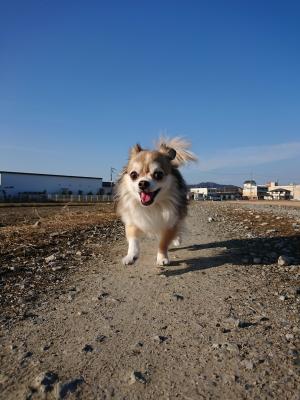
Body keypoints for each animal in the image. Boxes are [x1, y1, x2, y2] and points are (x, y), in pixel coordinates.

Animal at [115, 138, 197, 266]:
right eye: (133, 175)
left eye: (158, 174)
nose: (143, 183)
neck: (152, 206)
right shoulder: (132, 220)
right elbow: (133, 240)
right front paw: (131, 256)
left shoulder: (170, 223)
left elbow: (163, 242)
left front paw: (162, 257)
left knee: (179, 226)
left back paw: (177, 240)